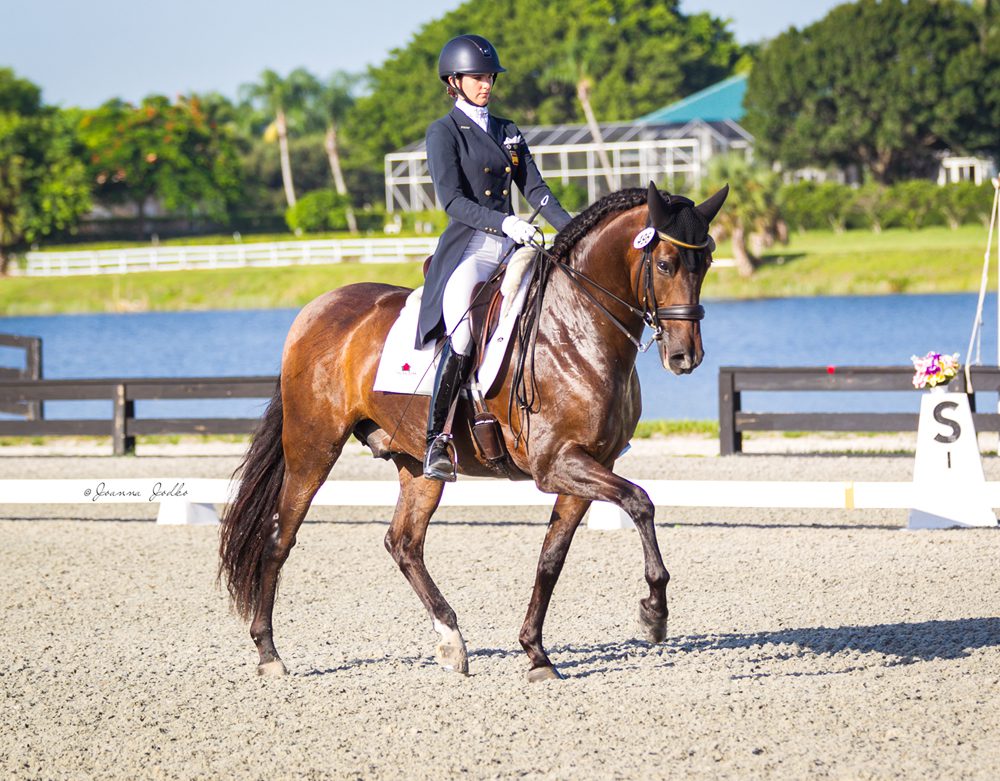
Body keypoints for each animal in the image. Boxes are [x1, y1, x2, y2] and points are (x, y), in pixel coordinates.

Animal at [219, 182, 729, 681]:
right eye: (664, 263)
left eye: (706, 262)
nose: (685, 357)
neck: (577, 327)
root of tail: (314, 310)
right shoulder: (556, 464)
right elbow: (640, 502)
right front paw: (654, 614)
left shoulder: (590, 463)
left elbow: (552, 558)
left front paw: (536, 654)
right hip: (313, 447)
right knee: (280, 537)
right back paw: (268, 653)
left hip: (418, 464)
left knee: (403, 543)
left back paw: (451, 642)